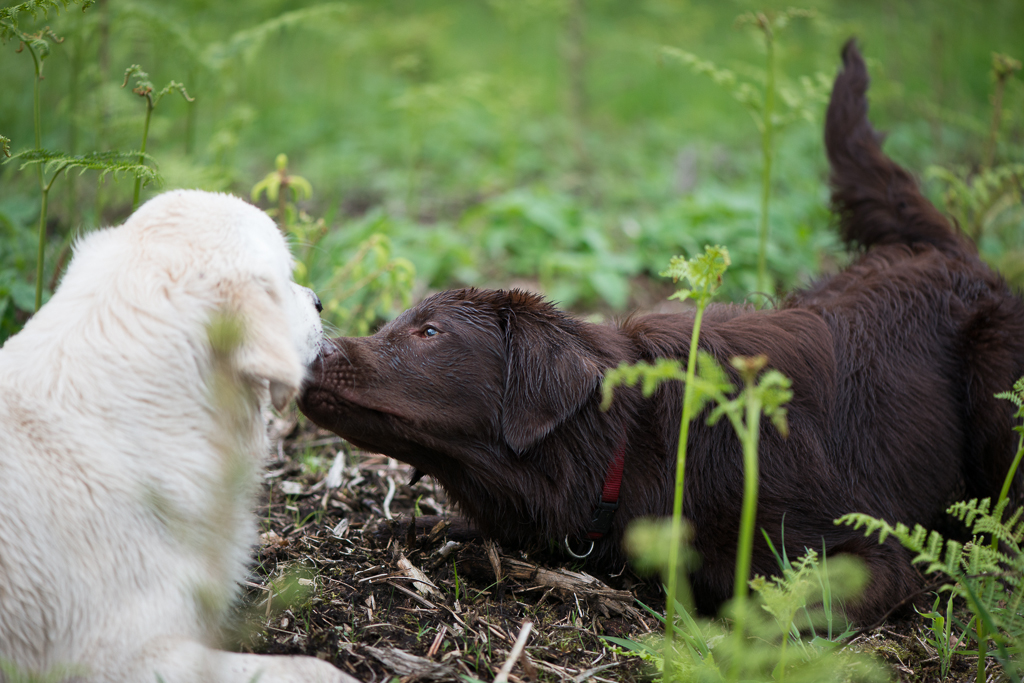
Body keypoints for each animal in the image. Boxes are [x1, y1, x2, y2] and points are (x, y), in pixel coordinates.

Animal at [296, 40, 1024, 622]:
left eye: (430, 332)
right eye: (394, 323)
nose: (313, 349)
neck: (635, 442)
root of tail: (944, 251)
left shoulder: (875, 549)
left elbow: (772, 607)